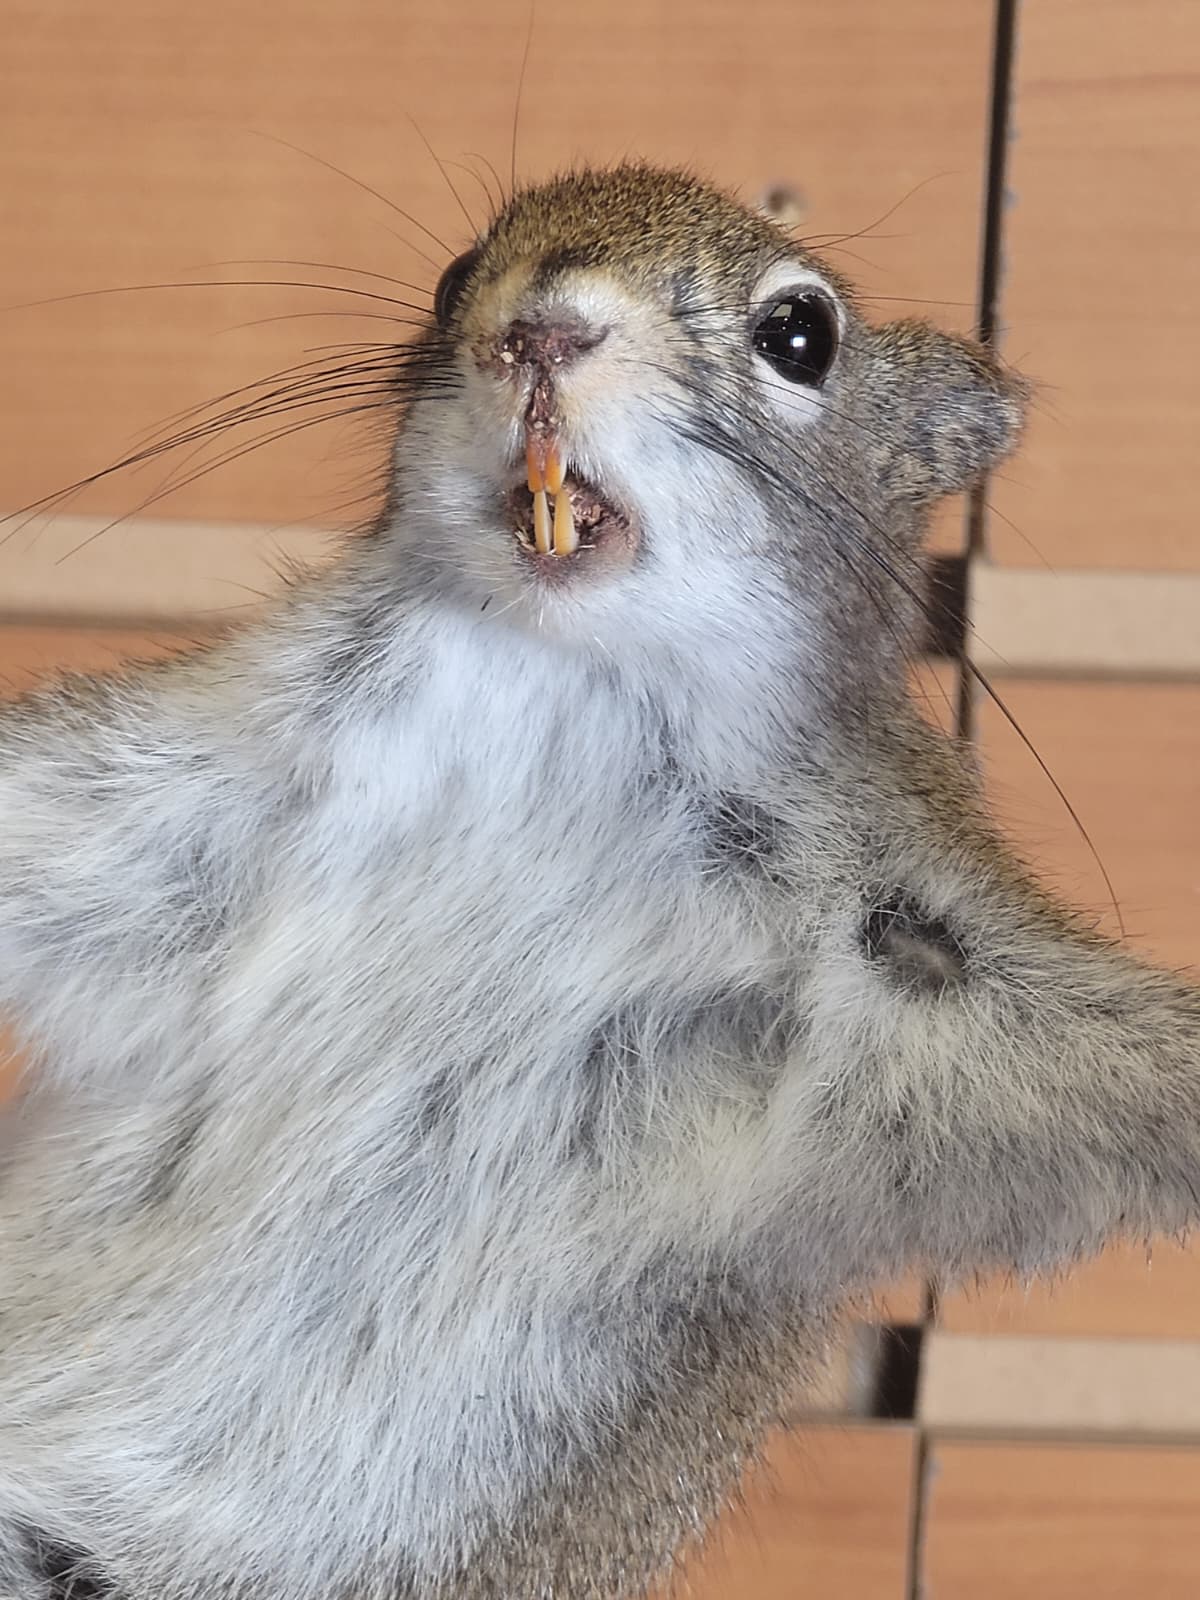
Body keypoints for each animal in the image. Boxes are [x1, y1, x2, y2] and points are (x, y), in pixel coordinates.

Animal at [0, 161, 1197, 1600]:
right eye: (455, 276)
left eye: (803, 335)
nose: (540, 329)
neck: (566, 690)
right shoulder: (200, 801)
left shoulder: (922, 964)